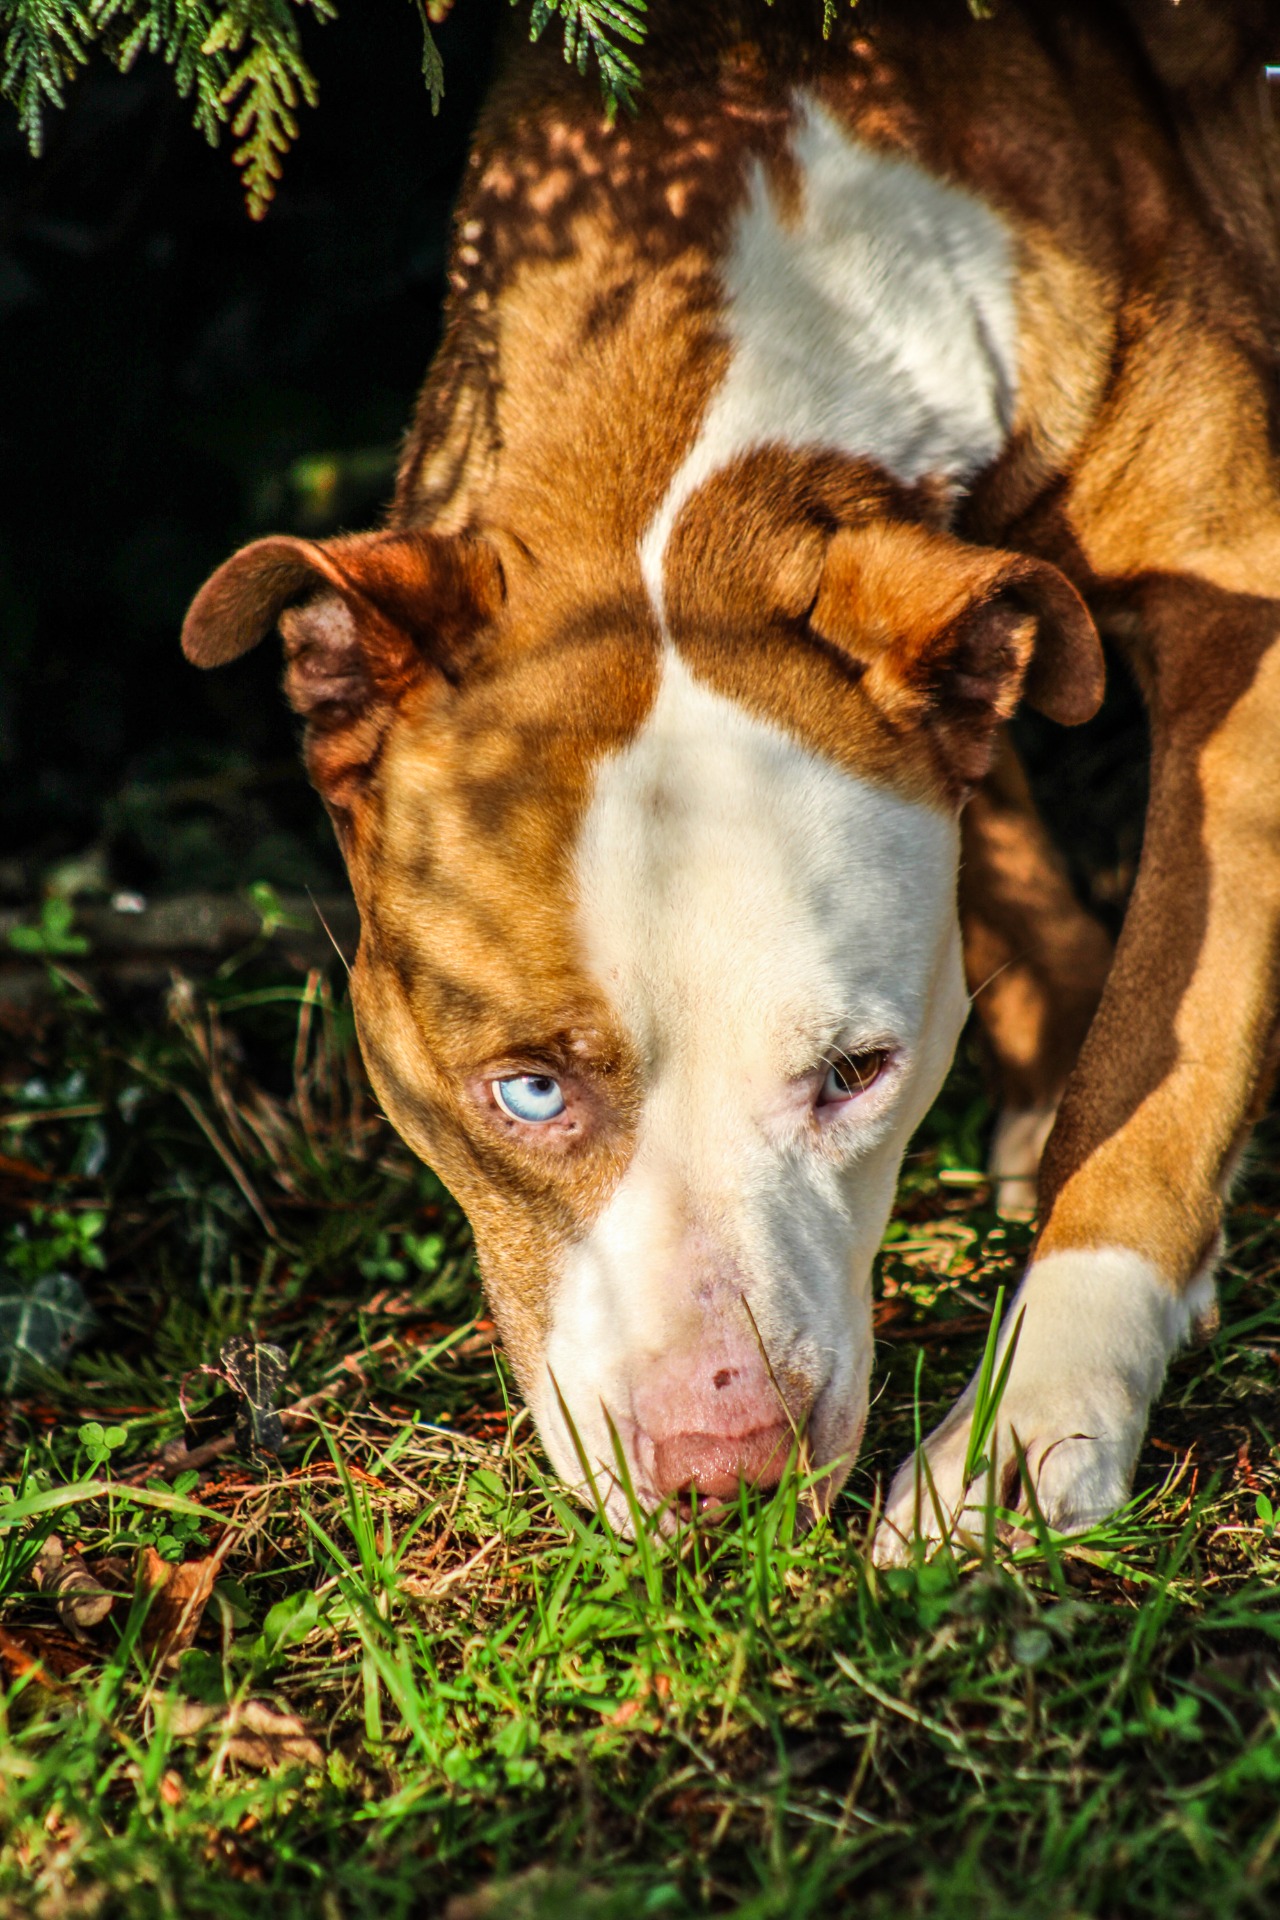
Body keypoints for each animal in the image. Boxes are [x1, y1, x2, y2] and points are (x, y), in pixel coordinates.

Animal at [180, 3, 1280, 1559]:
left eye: (858, 1074)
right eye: (526, 1094)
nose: (726, 1472)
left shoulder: (1243, 601)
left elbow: (1174, 1046)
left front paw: (1025, 1424)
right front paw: (1058, 1039)